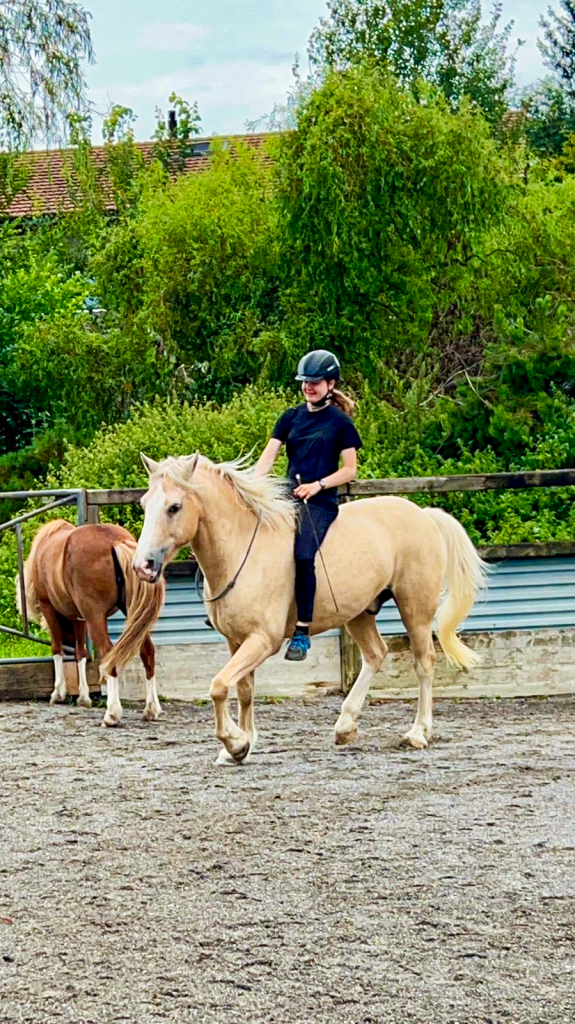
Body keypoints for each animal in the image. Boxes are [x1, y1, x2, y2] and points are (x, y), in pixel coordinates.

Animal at [17, 520, 165, 727]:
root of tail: (115, 541)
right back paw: (151, 709)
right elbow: (81, 653)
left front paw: (58, 693)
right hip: (135, 614)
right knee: (147, 652)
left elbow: (57, 648)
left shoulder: (49, 608)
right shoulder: (79, 617)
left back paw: (112, 713)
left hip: (96, 616)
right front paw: (83, 696)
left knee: (108, 653)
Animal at [102, 452, 486, 764]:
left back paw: (418, 733)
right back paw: (345, 726)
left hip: (415, 608)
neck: (241, 551)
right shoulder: (236, 641)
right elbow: (243, 689)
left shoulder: (263, 640)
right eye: (144, 504)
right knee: (376, 654)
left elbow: (219, 686)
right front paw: (243, 744)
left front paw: (234, 742)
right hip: (358, 613)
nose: (143, 566)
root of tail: (423, 514)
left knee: (424, 663)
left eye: (174, 507)